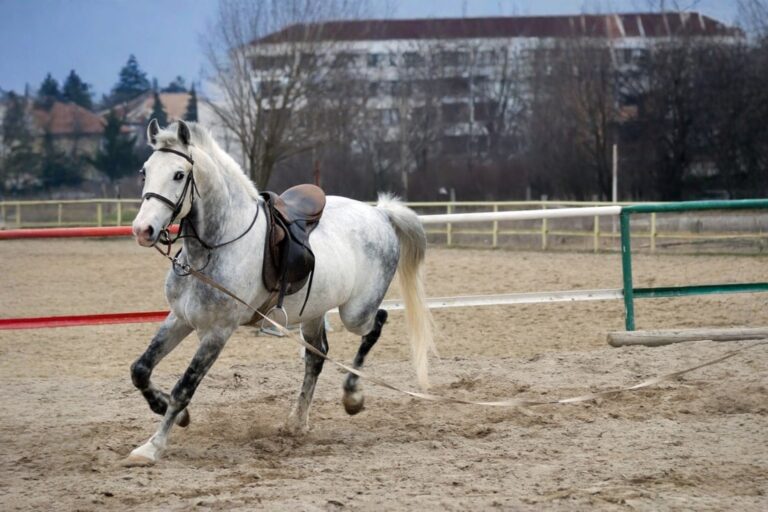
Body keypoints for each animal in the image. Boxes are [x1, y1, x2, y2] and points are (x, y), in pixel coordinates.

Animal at [126, 119, 435, 465]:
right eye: (145, 171)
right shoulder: (180, 318)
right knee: (316, 357)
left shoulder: (218, 331)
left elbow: (184, 387)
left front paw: (152, 446)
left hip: (355, 313)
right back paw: (297, 422)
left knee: (376, 324)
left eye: (179, 174)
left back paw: (352, 396)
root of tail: (380, 213)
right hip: (313, 311)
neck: (214, 248)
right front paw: (169, 410)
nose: (142, 230)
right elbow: (140, 369)